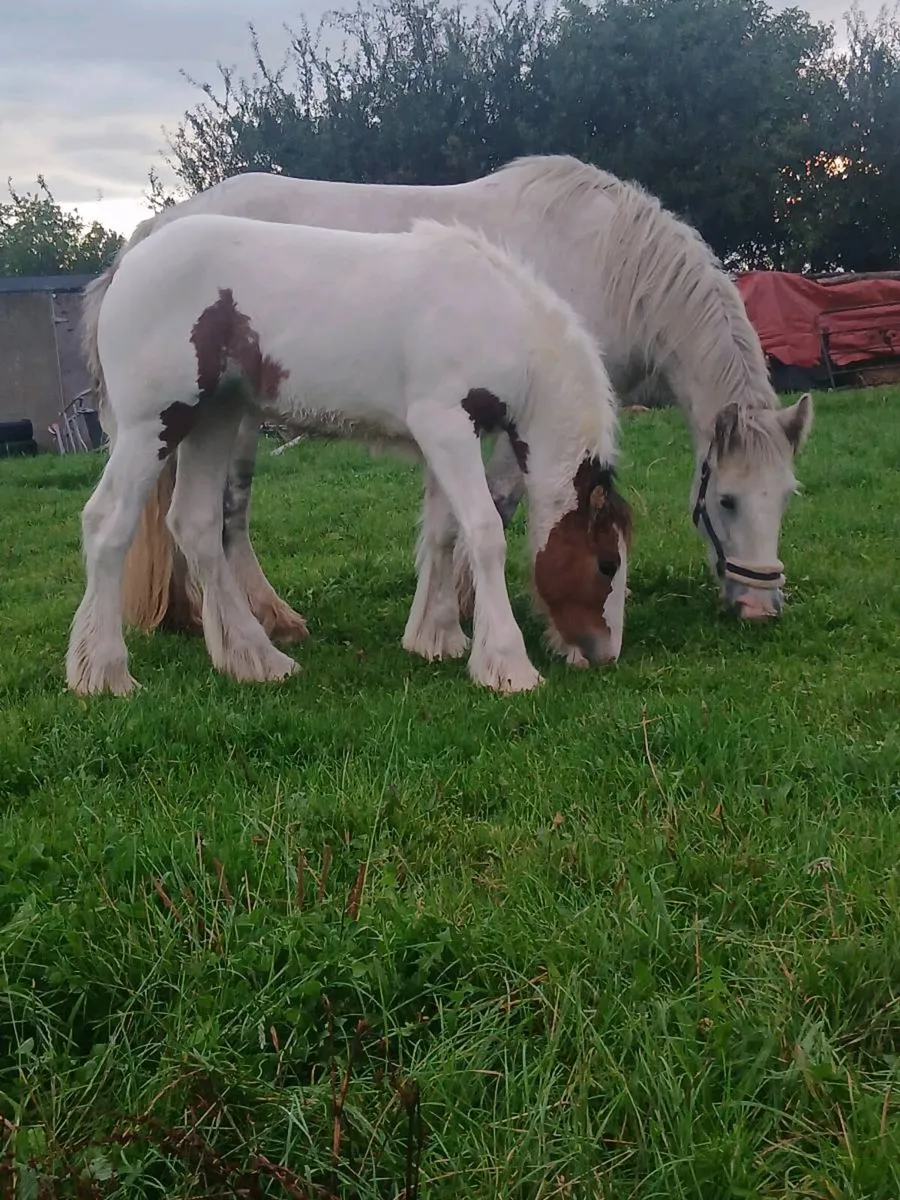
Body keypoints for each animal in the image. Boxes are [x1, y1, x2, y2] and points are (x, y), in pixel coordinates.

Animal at [67, 215, 632, 697]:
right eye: (607, 563)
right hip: (155, 426)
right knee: (107, 524)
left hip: (216, 418)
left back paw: (255, 659)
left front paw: (438, 638)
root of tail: (125, 265)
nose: (604, 653)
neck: (499, 318)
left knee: (196, 526)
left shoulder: (444, 436)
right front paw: (508, 666)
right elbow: (484, 532)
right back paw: (104, 673)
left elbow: (444, 533)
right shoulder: (447, 424)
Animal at [82, 154, 813, 638]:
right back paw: (263, 619)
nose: (759, 607)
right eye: (726, 499)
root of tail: (152, 234)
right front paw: (462, 611)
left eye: (785, 498)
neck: (605, 261)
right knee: (223, 517)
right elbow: (497, 505)